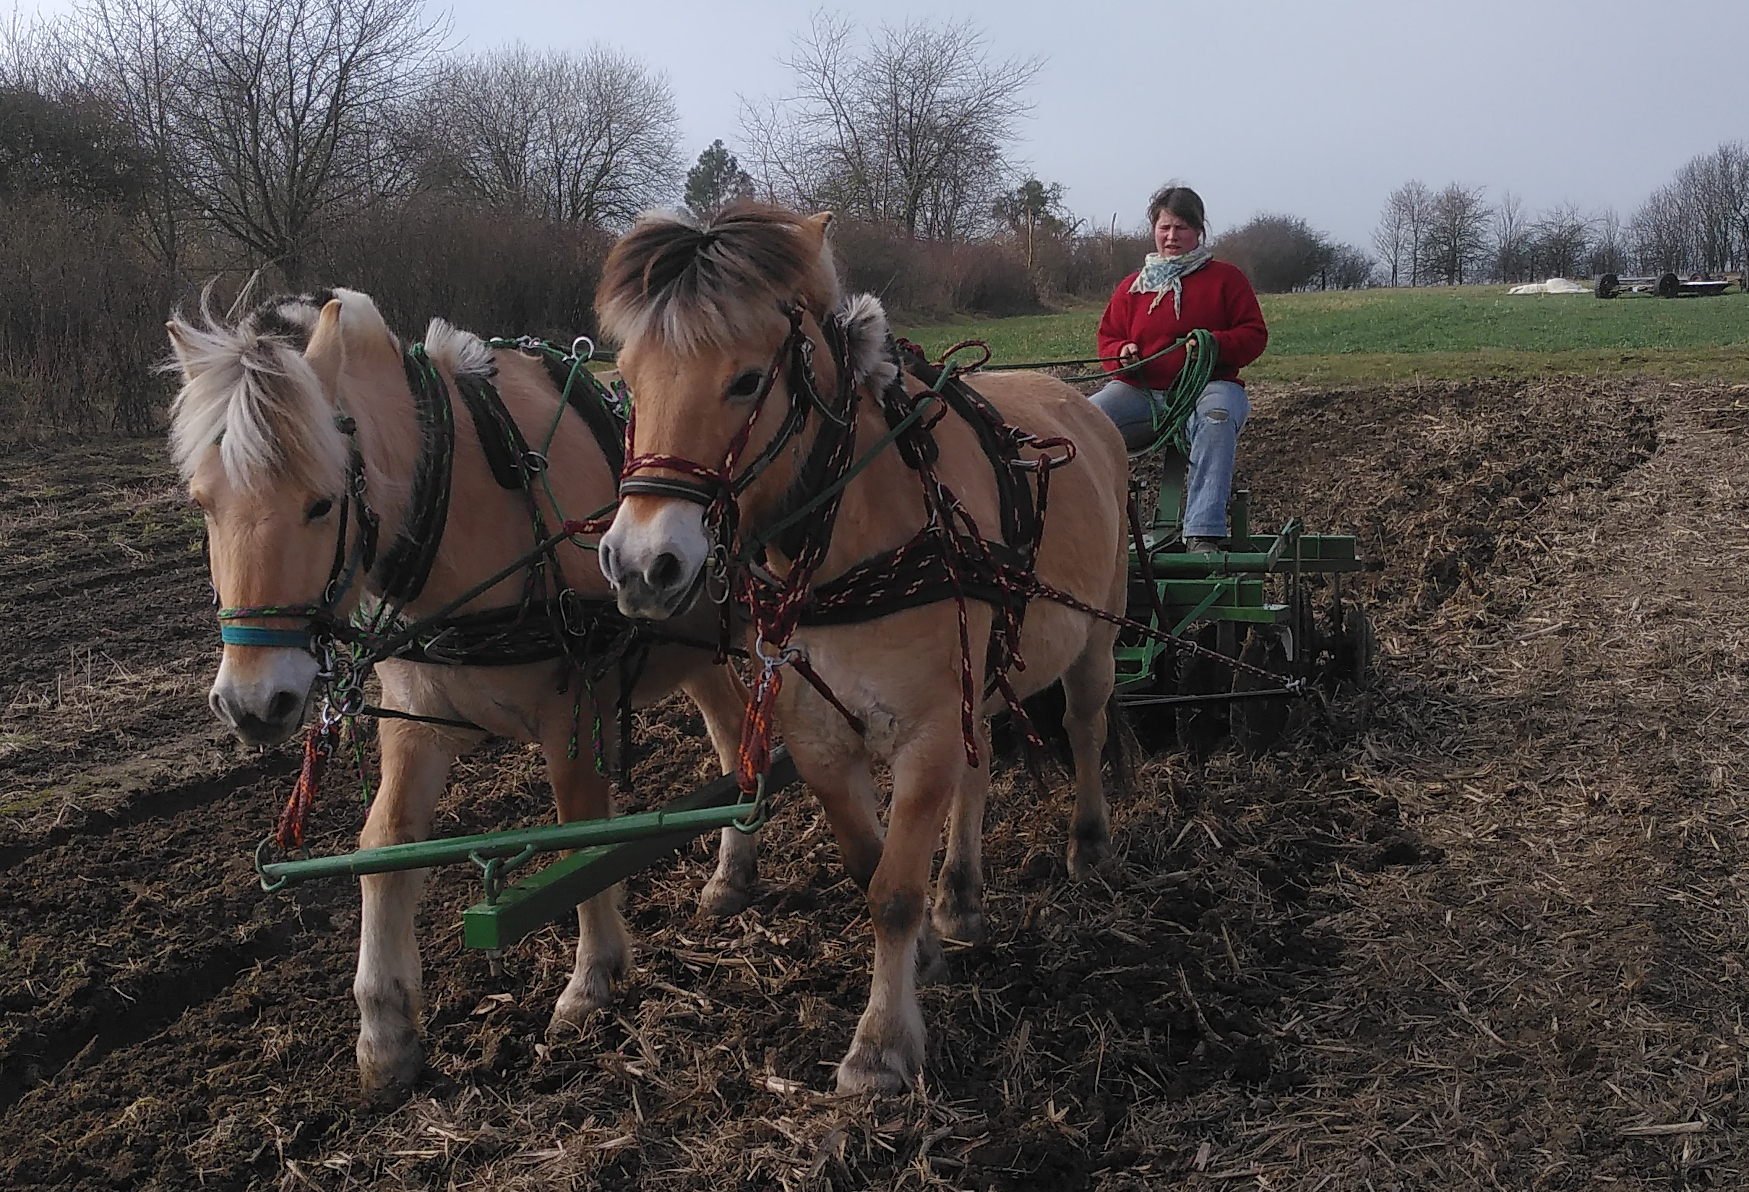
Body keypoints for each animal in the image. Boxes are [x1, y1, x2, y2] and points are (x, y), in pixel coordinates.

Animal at [165, 284, 759, 1097]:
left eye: (322, 502)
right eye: (201, 502)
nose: (253, 705)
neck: (462, 503)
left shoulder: (575, 707)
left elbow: (581, 831)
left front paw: (591, 978)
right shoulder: (417, 716)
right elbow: (382, 845)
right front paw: (385, 1032)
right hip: (694, 647)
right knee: (735, 738)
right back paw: (732, 876)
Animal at [594, 201, 1126, 1083]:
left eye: (746, 380)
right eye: (627, 379)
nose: (641, 564)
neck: (855, 539)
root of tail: (1077, 399)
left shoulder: (924, 732)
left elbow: (893, 893)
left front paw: (881, 1044)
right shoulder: (817, 736)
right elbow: (867, 864)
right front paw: (927, 959)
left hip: (1096, 638)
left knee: (1085, 726)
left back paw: (1088, 845)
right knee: (981, 764)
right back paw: (962, 895)